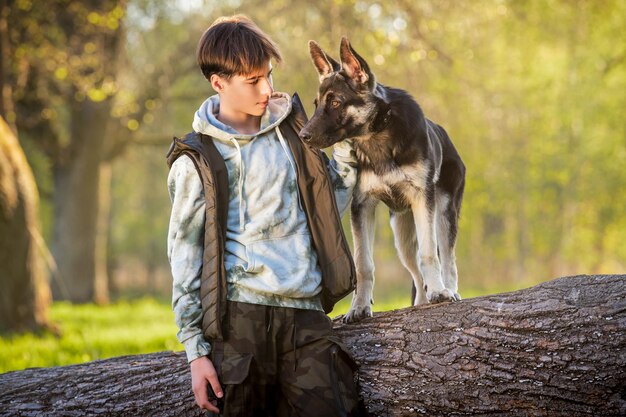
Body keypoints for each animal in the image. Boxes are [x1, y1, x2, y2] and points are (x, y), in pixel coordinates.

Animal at [298, 37, 464, 322]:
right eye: (316, 103)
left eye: (335, 103)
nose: (303, 135)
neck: (377, 136)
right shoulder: (362, 207)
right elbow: (364, 264)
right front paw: (359, 307)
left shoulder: (423, 201)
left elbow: (430, 254)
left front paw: (439, 293)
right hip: (401, 236)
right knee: (416, 273)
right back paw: (420, 302)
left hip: (443, 216)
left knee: (447, 259)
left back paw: (448, 290)